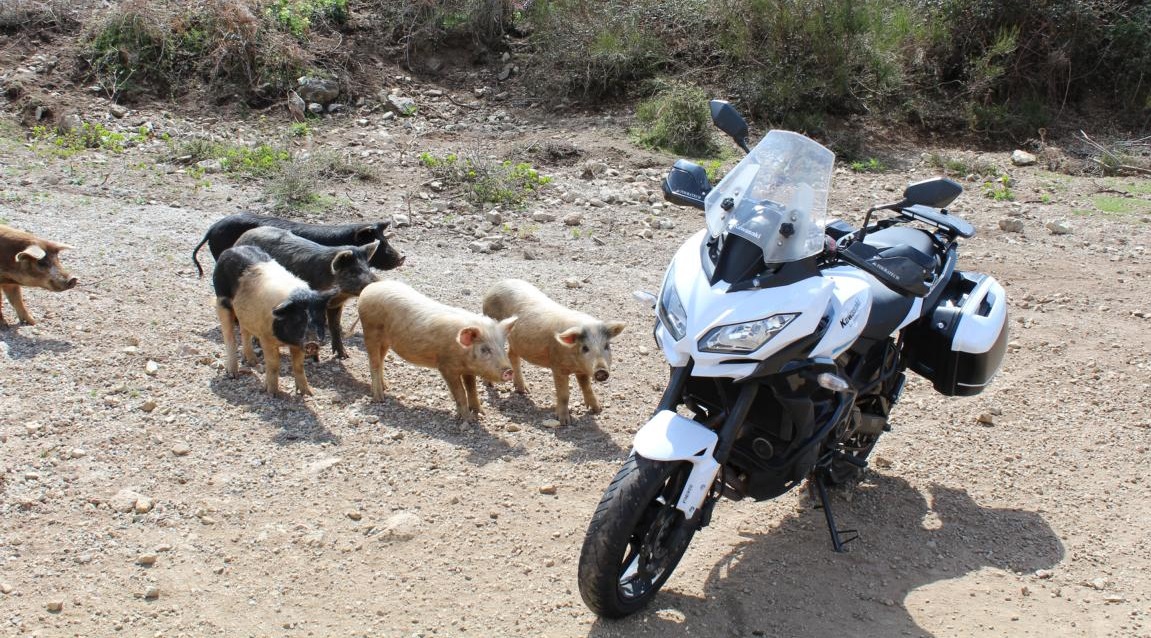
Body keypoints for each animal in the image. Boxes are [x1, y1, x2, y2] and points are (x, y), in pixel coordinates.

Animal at [359, 279, 517, 421]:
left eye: (503, 346)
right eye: (484, 349)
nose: (509, 371)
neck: (462, 352)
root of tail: (369, 289)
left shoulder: (468, 369)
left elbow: (472, 389)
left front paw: (481, 413)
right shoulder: (446, 367)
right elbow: (460, 392)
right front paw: (468, 420)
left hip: (386, 341)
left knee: (380, 361)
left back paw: (386, 387)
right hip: (370, 331)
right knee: (374, 364)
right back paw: (379, 398)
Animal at [481, 276, 626, 421]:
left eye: (606, 346)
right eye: (585, 348)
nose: (601, 371)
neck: (575, 363)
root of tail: (497, 285)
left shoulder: (582, 370)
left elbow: (587, 387)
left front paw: (597, 410)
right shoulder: (557, 366)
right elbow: (564, 394)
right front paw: (564, 421)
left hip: (516, 342)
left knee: (512, 355)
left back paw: (523, 390)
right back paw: (490, 384)